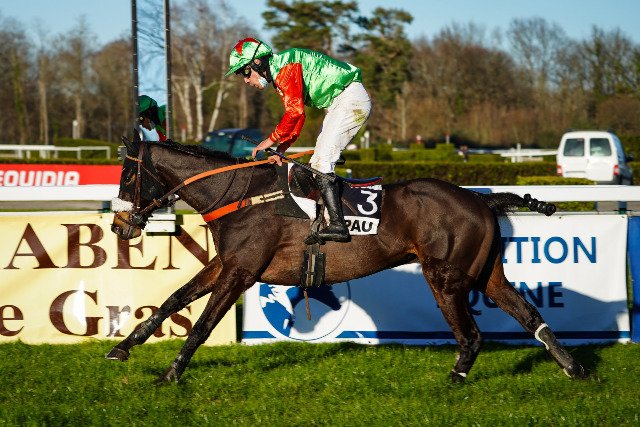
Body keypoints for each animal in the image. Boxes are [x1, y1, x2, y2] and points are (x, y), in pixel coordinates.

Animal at [107, 137, 587, 384]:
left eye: (128, 175)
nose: (118, 226)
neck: (242, 195)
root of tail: (480, 199)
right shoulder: (225, 264)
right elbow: (174, 299)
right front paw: (122, 347)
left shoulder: (241, 272)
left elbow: (204, 324)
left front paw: (171, 373)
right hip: (486, 274)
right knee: (526, 312)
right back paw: (573, 366)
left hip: (446, 277)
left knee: (471, 334)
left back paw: (456, 377)